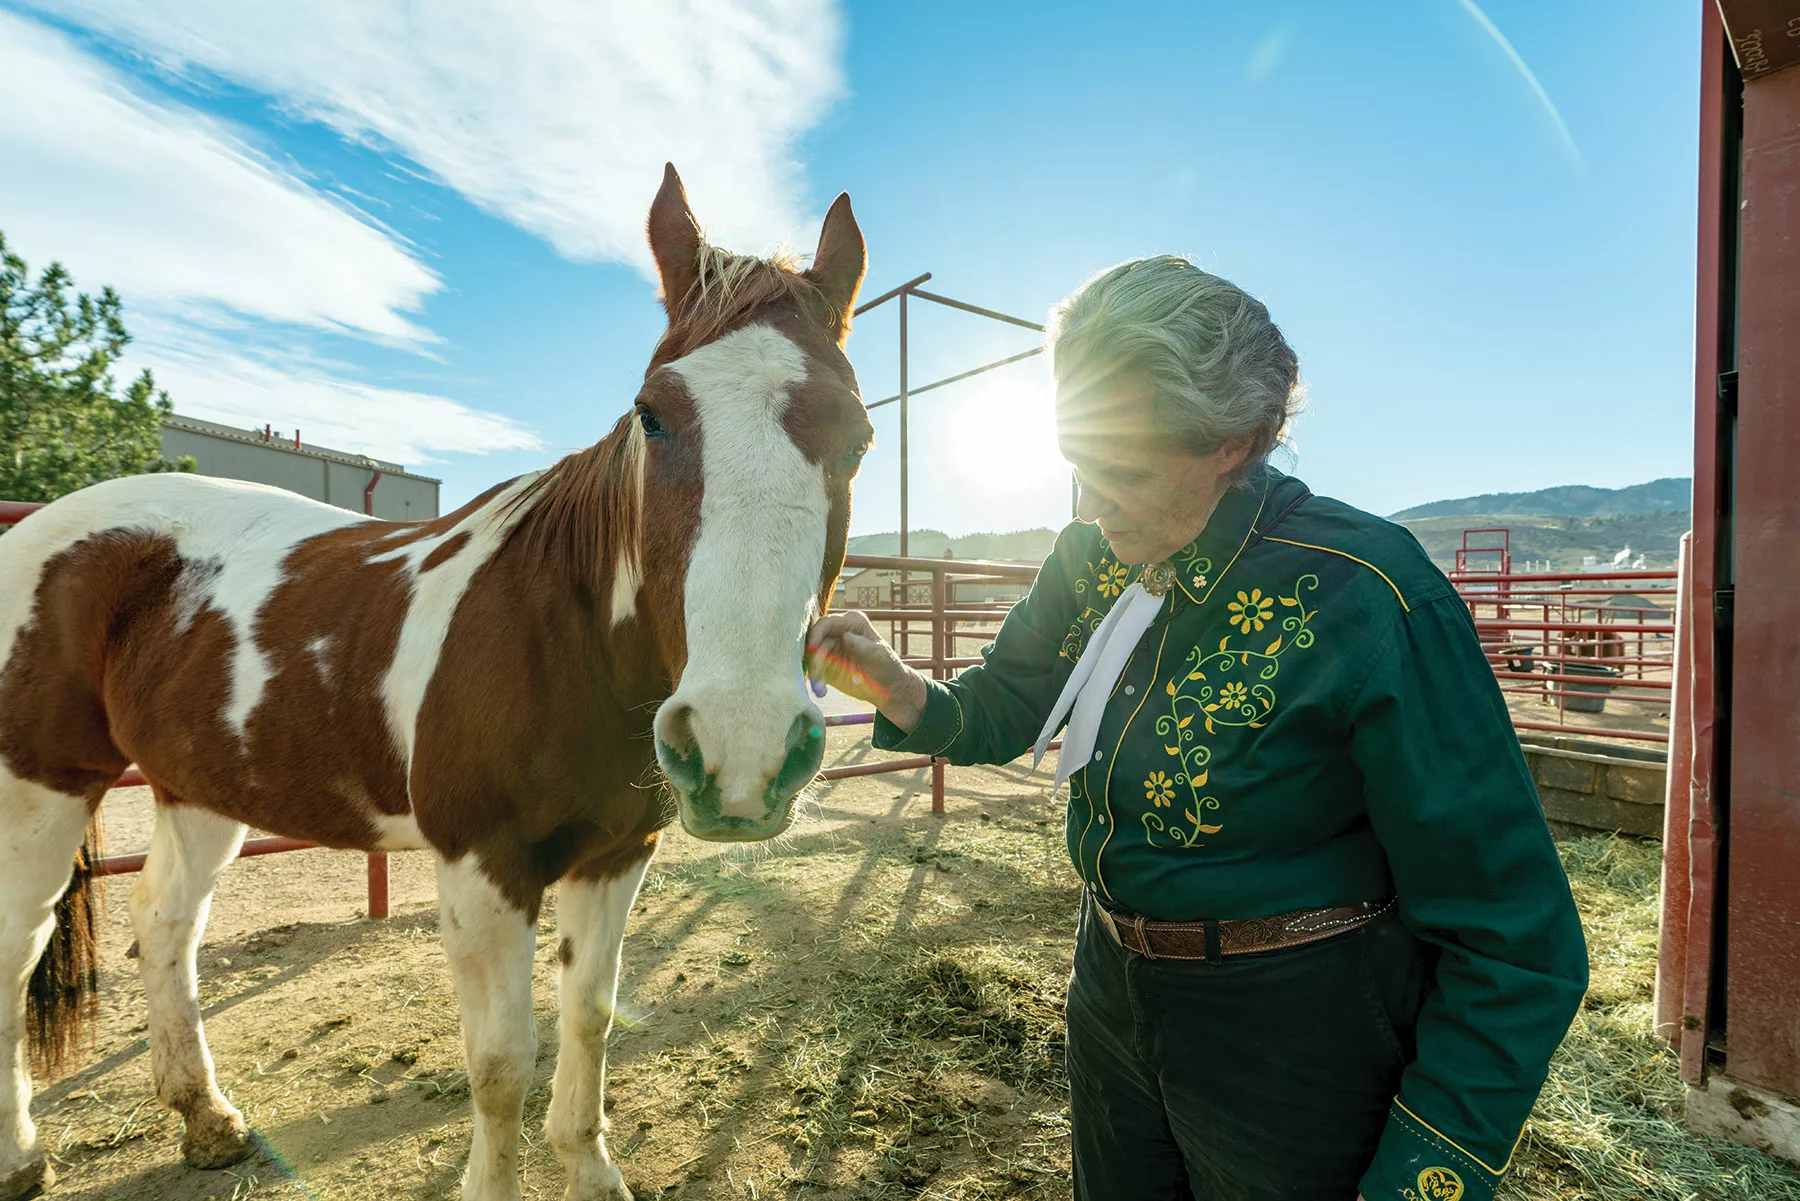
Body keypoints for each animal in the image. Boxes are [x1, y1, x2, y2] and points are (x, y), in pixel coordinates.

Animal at [0, 166, 874, 1201]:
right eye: (653, 413)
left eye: (860, 436)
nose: (743, 750)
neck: (559, 634)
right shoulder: (481, 869)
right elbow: (500, 1066)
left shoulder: (618, 854)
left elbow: (590, 1019)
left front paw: (590, 1167)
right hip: (39, 787)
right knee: (16, 946)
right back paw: (20, 1153)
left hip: (197, 784)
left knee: (165, 920)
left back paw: (204, 1117)